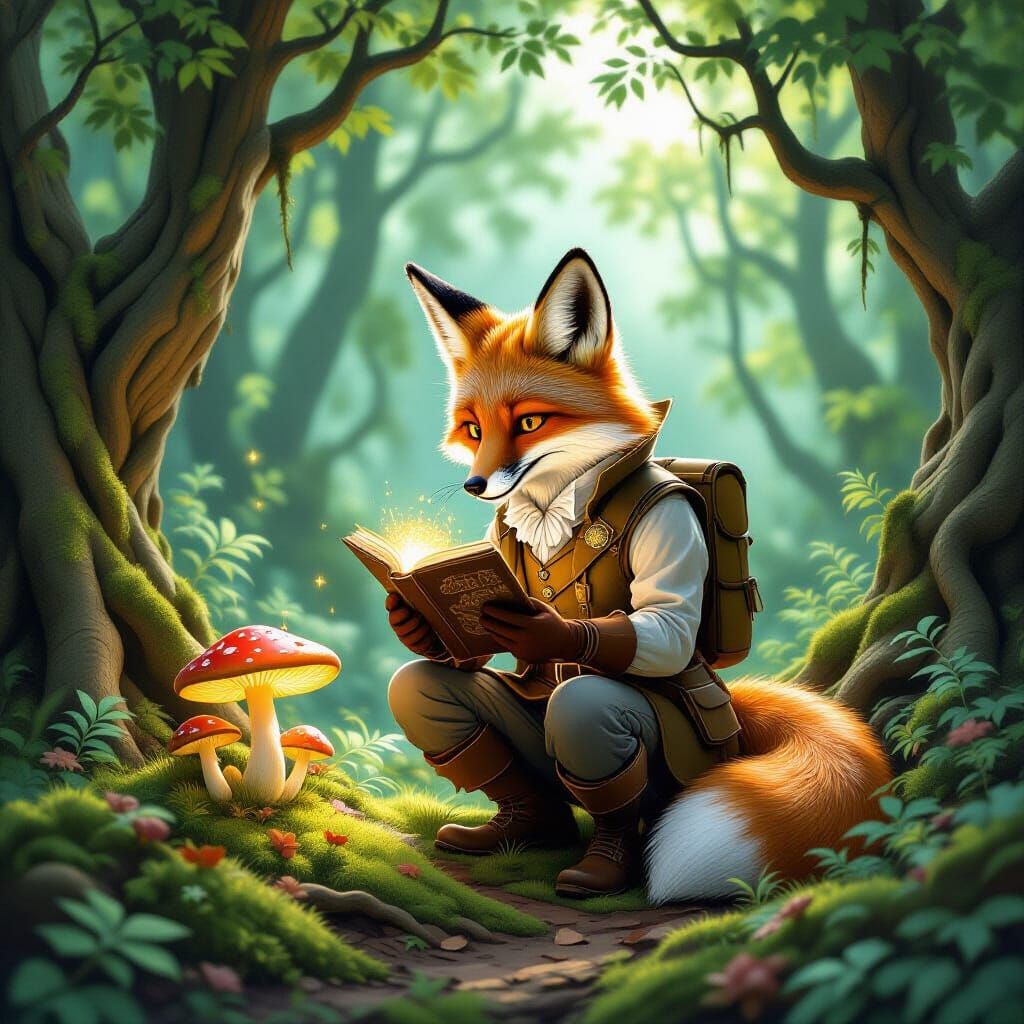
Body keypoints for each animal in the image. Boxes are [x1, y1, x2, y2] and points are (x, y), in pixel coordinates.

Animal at [400, 247, 891, 903]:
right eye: (473, 428)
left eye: (529, 422)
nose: (476, 485)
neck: (560, 504)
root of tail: (731, 723)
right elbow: (458, 658)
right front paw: (408, 619)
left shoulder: (668, 523)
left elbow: (661, 627)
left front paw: (548, 630)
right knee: (422, 690)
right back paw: (527, 828)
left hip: (664, 745)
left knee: (587, 714)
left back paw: (603, 864)